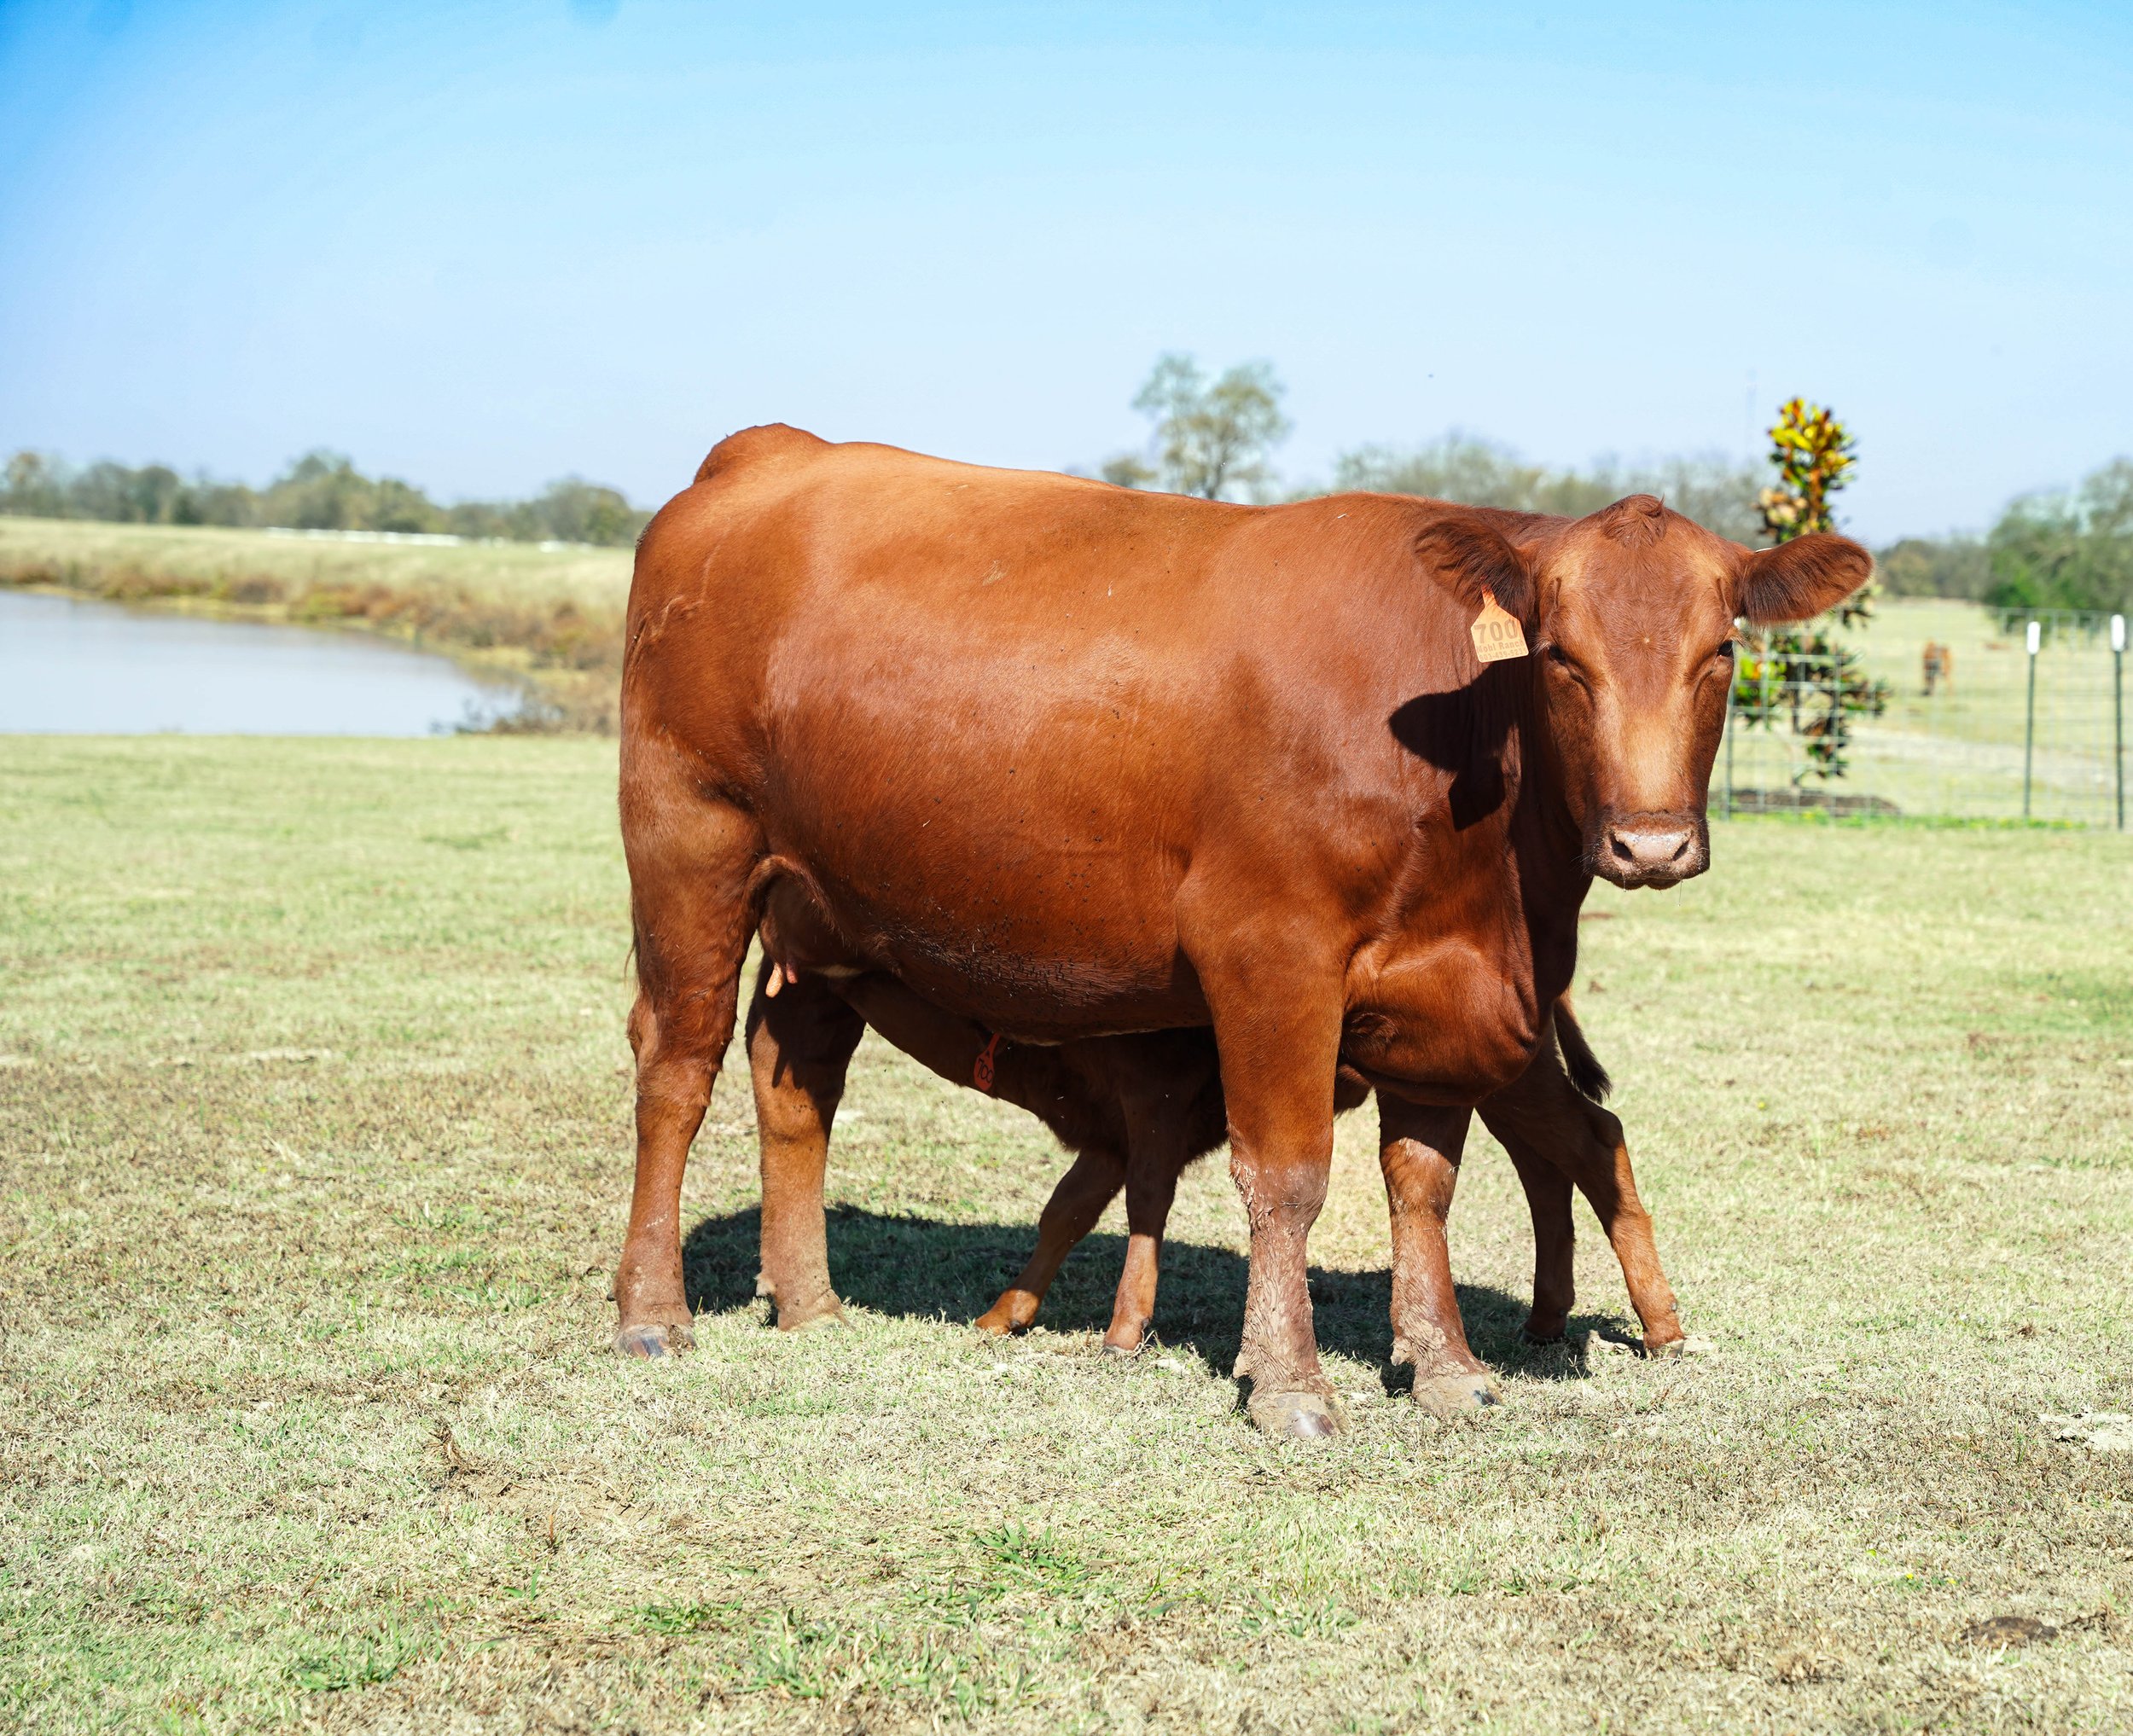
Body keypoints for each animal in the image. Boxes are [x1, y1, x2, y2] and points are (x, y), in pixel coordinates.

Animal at [615, 425, 1869, 1439]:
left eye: (1722, 651)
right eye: (1562, 654)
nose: (1650, 843)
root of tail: (767, 453)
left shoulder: (1438, 996)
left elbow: (1423, 1182)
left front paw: (1446, 1366)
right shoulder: (1271, 958)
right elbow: (1288, 1175)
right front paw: (1291, 1382)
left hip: (821, 914)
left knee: (795, 1084)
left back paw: (810, 1303)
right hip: (691, 844)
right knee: (678, 1065)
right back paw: (651, 1312)